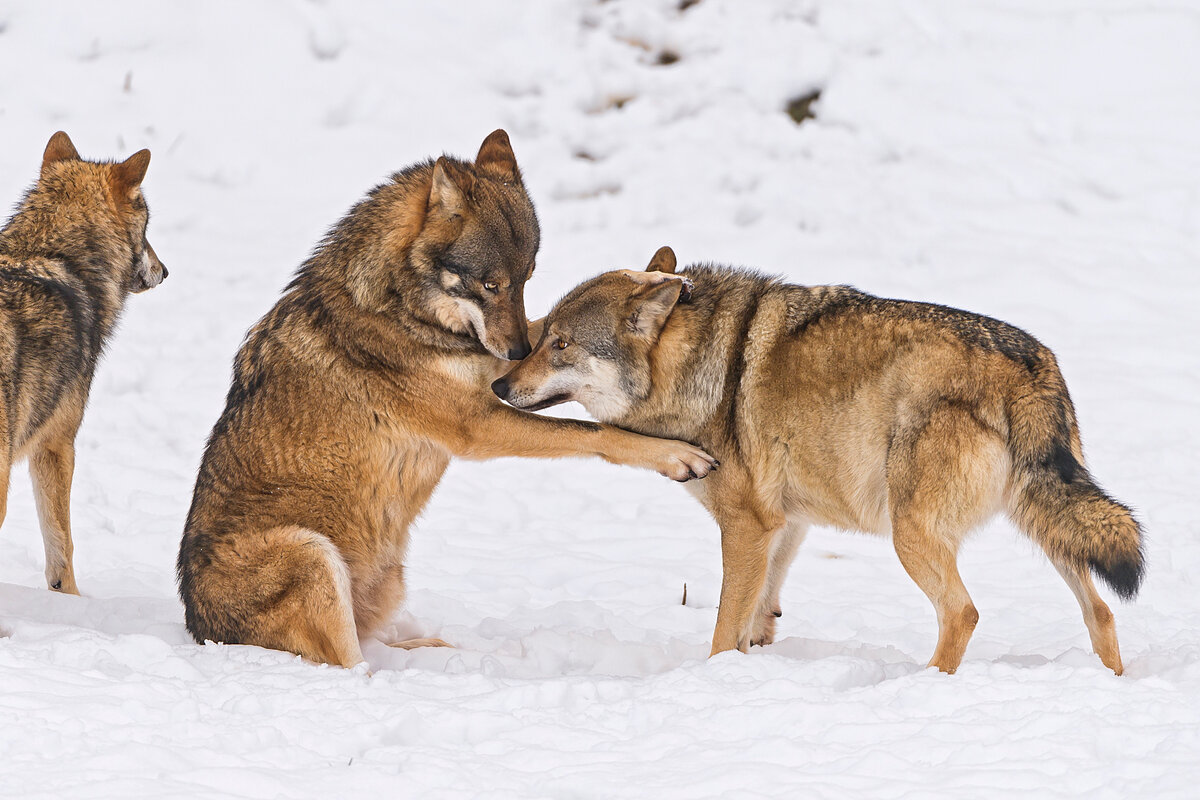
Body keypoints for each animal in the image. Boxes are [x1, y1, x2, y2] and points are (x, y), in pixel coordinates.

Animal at [0, 131, 168, 594]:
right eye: (147, 230)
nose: (165, 271)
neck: (53, 253)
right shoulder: (57, 445)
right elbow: (62, 546)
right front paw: (72, 600)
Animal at [175, 133, 715, 671]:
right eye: (490, 284)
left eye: (526, 278)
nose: (517, 353)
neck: (400, 307)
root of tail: (201, 630)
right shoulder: (477, 424)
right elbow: (595, 432)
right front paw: (675, 456)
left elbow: (546, 326)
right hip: (311, 553)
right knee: (351, 665)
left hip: (388, 578)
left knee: (367, 647)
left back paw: (425, 650)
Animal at [496, 247, 1142, 671]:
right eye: (540, 333)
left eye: (561, 344)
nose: (499, 385)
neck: (698, 367)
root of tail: (1031, 366)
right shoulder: (785, 526)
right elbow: (757, 619)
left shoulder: (747, 527)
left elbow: (723, 630)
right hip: (1049, 528)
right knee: (1102, 612)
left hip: (913, 534)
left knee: (963, 613)